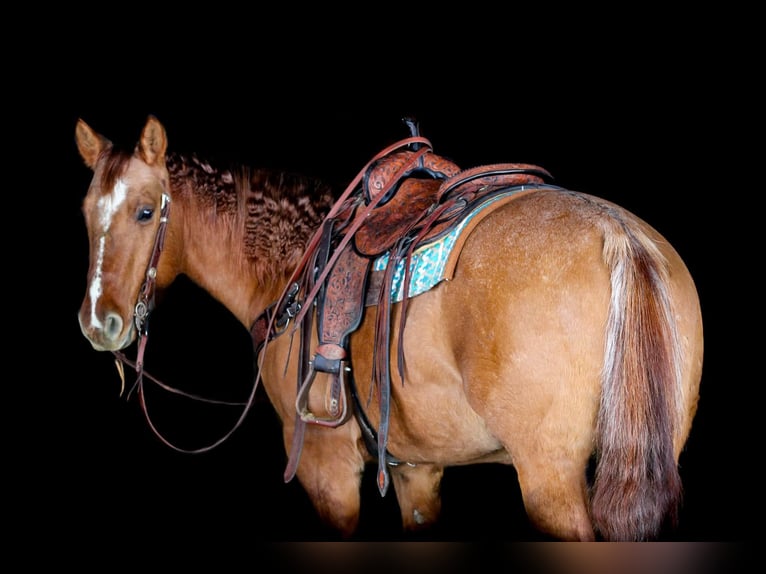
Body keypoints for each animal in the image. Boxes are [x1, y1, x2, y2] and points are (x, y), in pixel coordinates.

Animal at [75, 114, 703, 541]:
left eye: (146, 212)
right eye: (85, 215)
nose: (98, 322)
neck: (288, 271)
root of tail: (617, 232)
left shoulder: (326, 470)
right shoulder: (417, 471)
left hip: (550, 477)